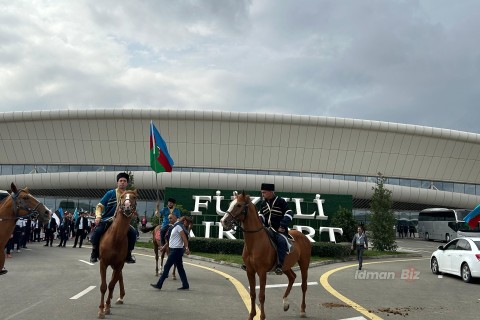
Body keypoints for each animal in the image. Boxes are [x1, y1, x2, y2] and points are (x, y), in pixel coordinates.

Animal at [96, 190, 136, 318]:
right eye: (122, 197)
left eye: (134, 197)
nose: (127, 207)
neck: (116, 238)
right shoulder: (103, 263)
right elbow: (103, 286)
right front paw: (101, 310)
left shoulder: (119, 263)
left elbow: (111, 284)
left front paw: (107, 307)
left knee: (118, 276)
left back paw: (119, 297)